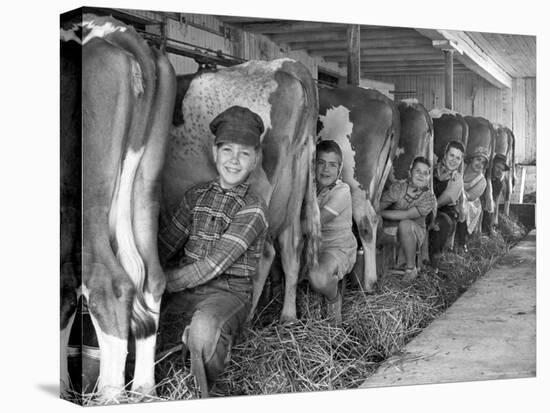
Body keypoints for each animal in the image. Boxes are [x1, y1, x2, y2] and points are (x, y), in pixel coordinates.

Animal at [58, 12, 175, 400]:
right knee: (151, 279)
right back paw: (143, 390)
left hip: (88, 196)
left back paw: (109, 394)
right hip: (146, 186)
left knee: (105, 284)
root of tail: (117, 31)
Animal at [162, 59, 322, 326]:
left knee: (265, 253)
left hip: (261, 189)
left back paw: (247, 320)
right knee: (292, 245)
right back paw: (288, 316)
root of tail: (284, 65)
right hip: (296, 180)